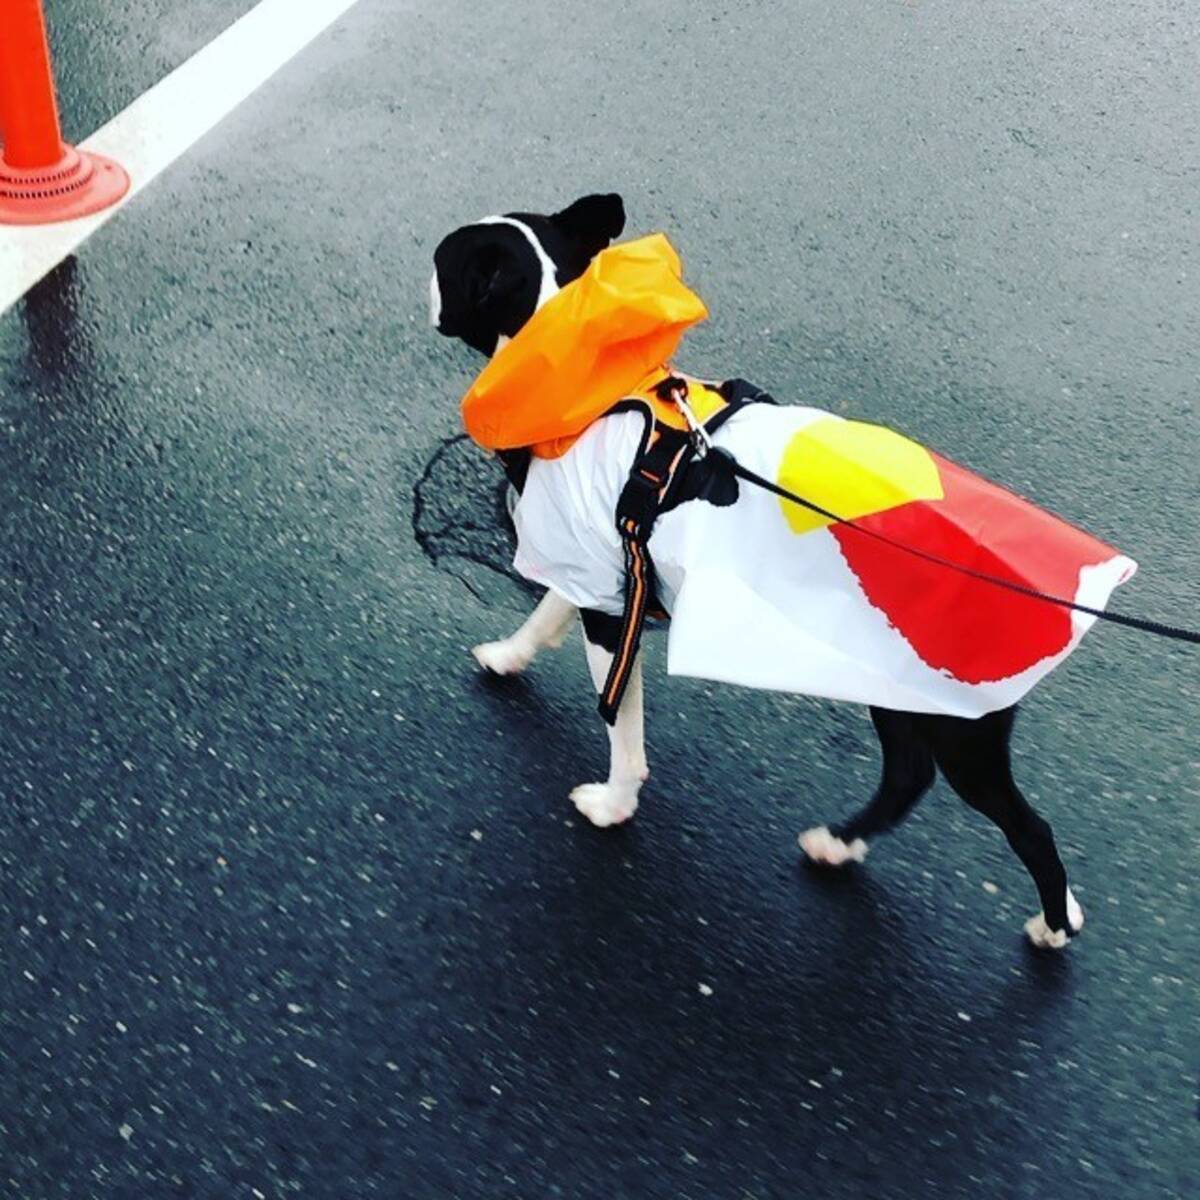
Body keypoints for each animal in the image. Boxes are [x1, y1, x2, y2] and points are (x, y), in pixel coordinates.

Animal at [432, 192, 1132, 950]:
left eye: (446, 263)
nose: (427, 281)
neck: (593, 382)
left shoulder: (613, 606)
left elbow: (622, 725)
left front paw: (614, 803)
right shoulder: (596, 567)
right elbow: (546, 613)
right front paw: (509, 655)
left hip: (959, 725)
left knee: (1026, 826)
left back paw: (1054, 925)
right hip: (900, 687)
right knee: (908, 775)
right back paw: (840, 845)